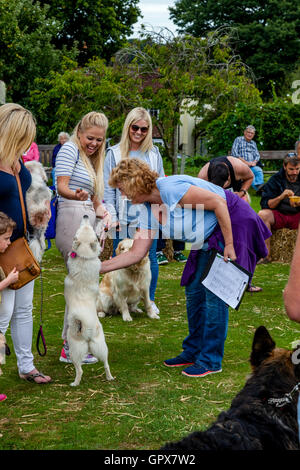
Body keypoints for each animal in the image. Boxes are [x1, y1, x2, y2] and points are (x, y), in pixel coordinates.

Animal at [64, 215, 113, 388]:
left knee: (79, 370)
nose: (85, 215)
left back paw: (75, 383)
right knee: (106, 364)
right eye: (95, 234)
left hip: (74, 350)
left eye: (76, 232)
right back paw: (110, 378)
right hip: (101, 347)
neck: (84, 258)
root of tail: (88, 328)